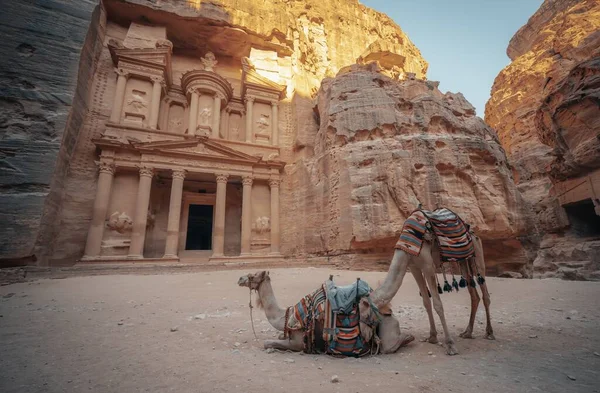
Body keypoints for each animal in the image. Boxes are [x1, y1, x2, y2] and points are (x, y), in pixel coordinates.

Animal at [237, 272, 414, 354]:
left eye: (253, 275)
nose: (240, 278)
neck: (285, 316)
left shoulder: (298, 341)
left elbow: (267, 343)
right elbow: (279, 336)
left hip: (386, 330)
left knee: (390, 345)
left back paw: (407, 338)